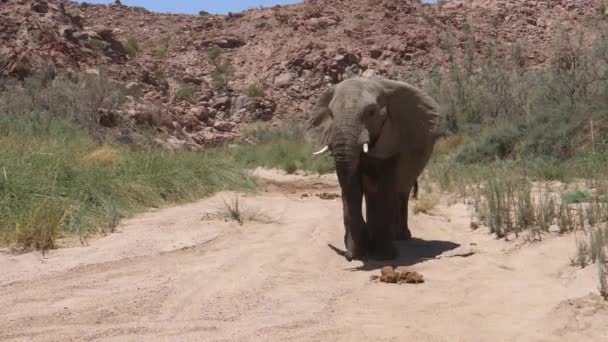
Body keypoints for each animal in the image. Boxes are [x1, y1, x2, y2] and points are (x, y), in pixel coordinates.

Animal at [306, 76, 440, 260]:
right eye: (331, 114)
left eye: (371, 112)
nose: (348, 255)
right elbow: (353, 187)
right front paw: (357, 252)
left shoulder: (393, 137)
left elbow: (385, 188)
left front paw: (384, 255)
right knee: (372, 192)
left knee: (401, 191)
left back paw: (401, 237)